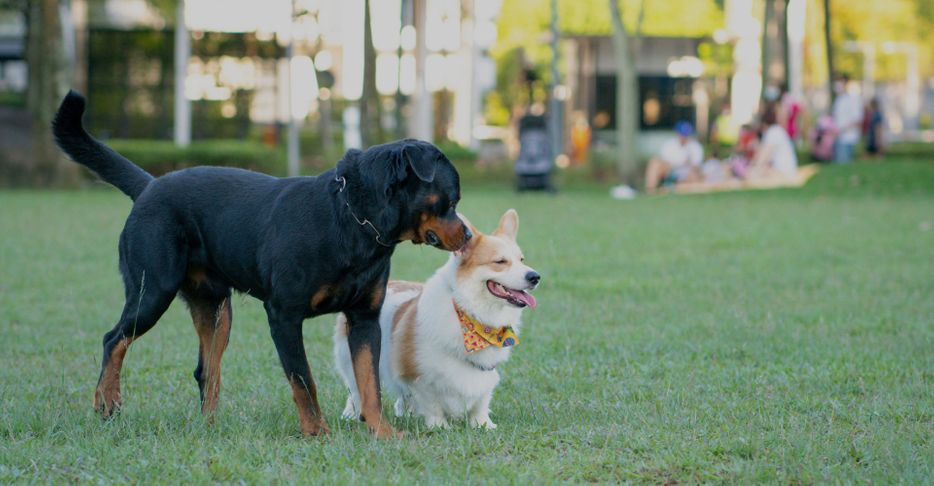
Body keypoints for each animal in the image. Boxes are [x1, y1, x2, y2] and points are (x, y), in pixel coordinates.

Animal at [53, 90, 468, 436]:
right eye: (452, 200)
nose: (466, 235)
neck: (356, 220)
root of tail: (150, 186)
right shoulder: (284, 314)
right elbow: (303, 380)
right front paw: (316, 432)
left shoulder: (365, 318)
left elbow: (370, 383)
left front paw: (382, 432)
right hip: (152, 289)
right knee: (114, 339)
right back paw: (107, 402)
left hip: (215, 308)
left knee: (206, 370)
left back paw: (209, 427)